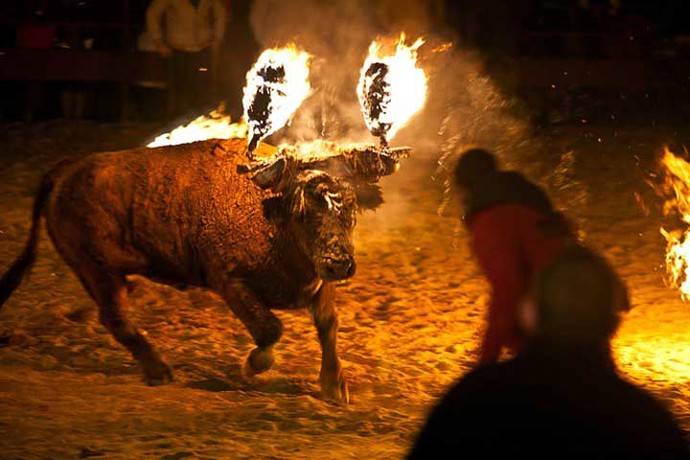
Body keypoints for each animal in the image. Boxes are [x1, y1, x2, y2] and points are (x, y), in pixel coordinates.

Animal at [0, 139, 404, 402]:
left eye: (351, 207)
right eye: (304, 210)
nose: (340, 263)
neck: (271, 212)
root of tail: (67, 170)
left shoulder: (317, 284)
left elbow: (328, 326)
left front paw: (335, 387)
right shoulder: (229, 281)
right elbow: (270, 328)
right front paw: (252, 366)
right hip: (97, 270)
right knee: (115, 318)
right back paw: (159, 371)